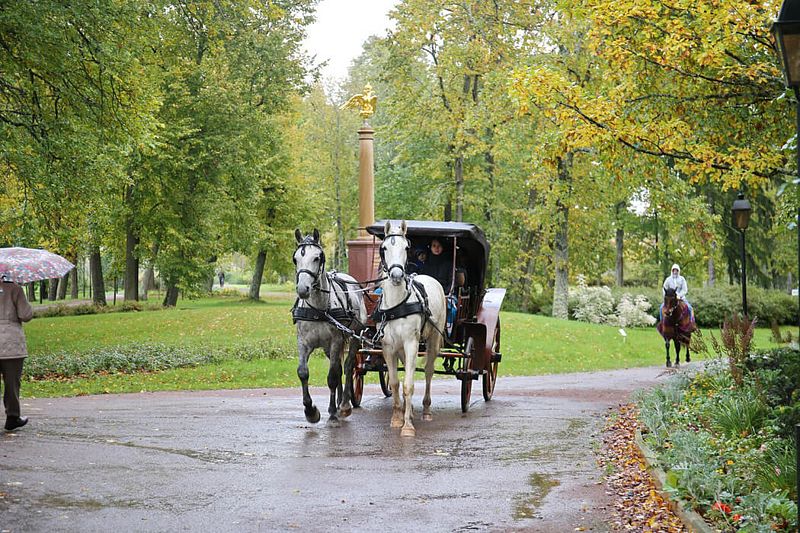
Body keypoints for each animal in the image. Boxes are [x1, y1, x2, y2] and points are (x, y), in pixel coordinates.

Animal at [292, 229, 367, 426]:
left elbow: (332, 377)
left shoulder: (335, 341)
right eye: (295, 258)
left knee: (347, 367)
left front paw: (333, 411)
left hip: (354, 336)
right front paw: (310, 411)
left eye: (317, 257)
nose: (302, 289)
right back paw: (340, 401)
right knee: (339, 368)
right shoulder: (303, 342)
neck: (319, 309)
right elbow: (303, 372)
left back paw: (345, 404)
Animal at [374, 220, 447, 437]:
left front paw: (407, 426)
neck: (396, 306)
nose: (397, 275)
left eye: (406, 247)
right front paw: (398, 418)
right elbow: (395, 382)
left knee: (429, 371)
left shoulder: (411, 343)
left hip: (432, 339)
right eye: (384, 248)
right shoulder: (388, 347)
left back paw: (426, 410)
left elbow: (408, 384)